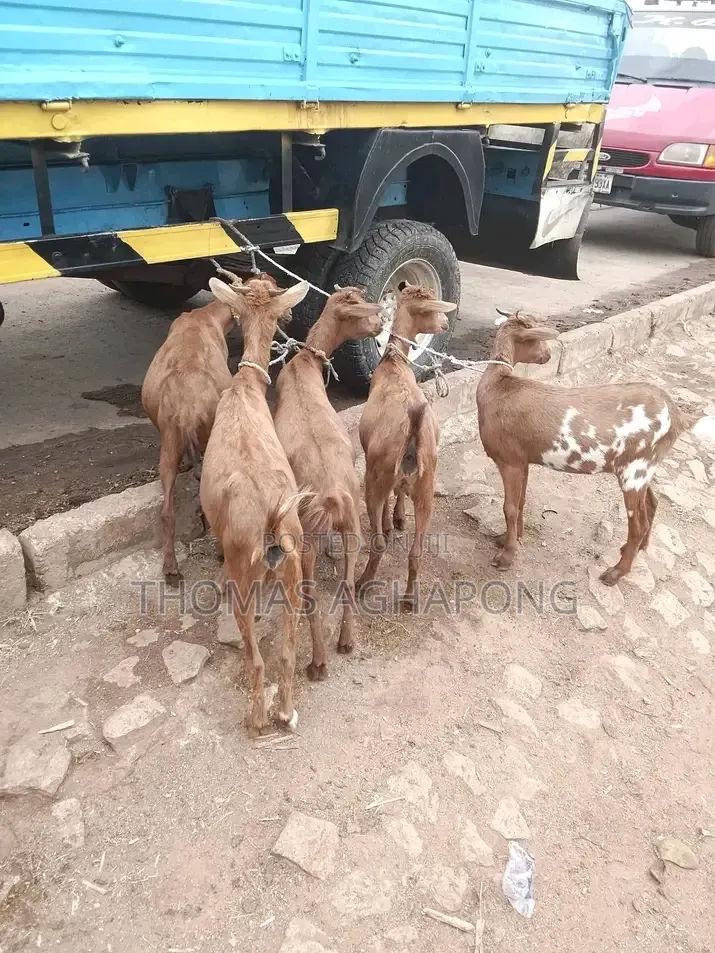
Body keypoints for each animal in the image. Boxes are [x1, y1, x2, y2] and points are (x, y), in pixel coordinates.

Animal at [141, 293, 235, 584]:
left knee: (166, 511)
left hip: (170, 441)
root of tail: (187, 407)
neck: (205, 315)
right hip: (206, 433)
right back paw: (220, 551)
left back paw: (170, 566)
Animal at [274, 287, 382, 677]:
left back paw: (318, 662)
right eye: (361, 310)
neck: (305, 365)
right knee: (347, 583)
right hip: (353, 528)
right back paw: (346, 642)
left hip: (305, 538)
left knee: (310, 599)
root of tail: (333, 496)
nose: (380, 325)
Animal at [356, 284, 458, 610]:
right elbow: (400, 492)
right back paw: (410, 598)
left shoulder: (376, 469)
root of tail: (413, 437)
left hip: (375, 478)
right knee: (416, 552)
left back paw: (362, 583)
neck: (394, 362)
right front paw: (400, 518)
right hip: (426, 488)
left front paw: (391, 523)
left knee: (377, 542)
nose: (445, 323)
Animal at [476, 310, 715, 585]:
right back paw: (637, 550)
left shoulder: (509, 460)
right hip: (644, 466)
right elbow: (522, 501)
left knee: (638, 524)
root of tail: (677, 415)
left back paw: (616, 572)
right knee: (652, 505)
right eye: (535, 337)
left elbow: (510, 508)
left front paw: (506, 557)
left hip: (634, 471)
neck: (498, 387)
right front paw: (509, 539)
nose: (548, 355)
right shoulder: (523, 459)